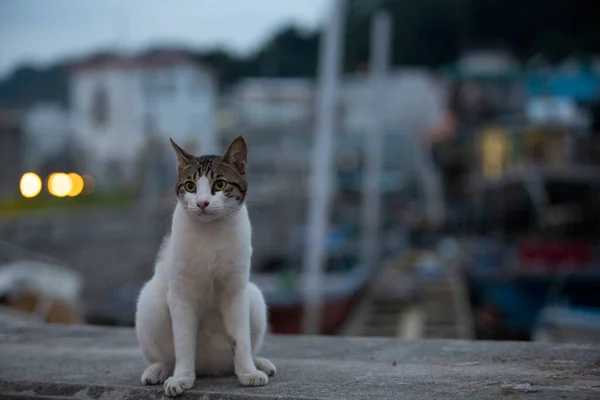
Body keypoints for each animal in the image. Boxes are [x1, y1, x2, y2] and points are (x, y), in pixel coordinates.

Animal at [135, 137, 276, 396]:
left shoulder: (236, 291)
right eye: (190, 186)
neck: (211, 234)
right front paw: (181, 378)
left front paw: (247, 372)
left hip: (254, 297)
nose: (201, 203)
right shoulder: (181, 294)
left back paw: (256, 363)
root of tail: (209, 367)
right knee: (165, 357)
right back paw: (158, 370)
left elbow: (241, 338)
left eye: (219, 184)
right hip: (150, 302)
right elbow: (183, 343)